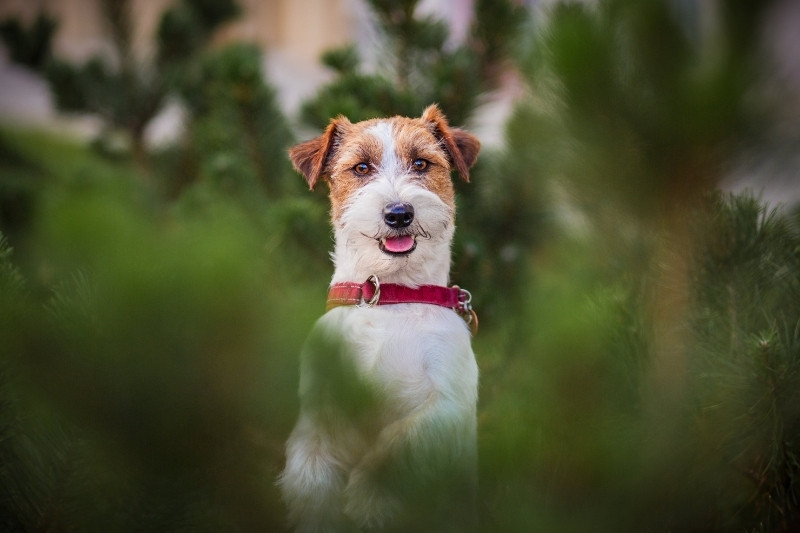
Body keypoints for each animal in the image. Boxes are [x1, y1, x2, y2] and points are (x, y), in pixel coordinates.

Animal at [280, 105, 478, 532]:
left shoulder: (446, 407)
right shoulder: (319, 411)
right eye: (361, 167)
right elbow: (309, 473)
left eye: (421, 163)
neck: (388, 295)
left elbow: (397, 443)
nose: (399, 214)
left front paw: (368, 497)